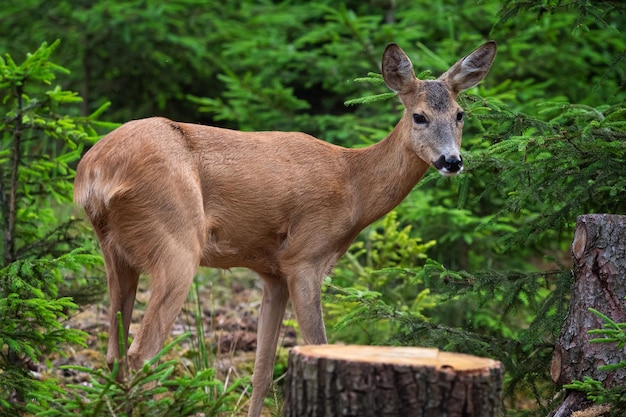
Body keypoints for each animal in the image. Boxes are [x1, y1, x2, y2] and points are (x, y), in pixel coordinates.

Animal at [72, 39, 492, 416]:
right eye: (419, 116)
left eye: (460, 115)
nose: (452, 161)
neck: (353, 186)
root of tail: (94, 172)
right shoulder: (305, 257)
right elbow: (318, 343)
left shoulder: (272, 271)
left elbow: (261, 371)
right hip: (176, 241)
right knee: (141, 353)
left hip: (115, 252)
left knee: (113, 352)